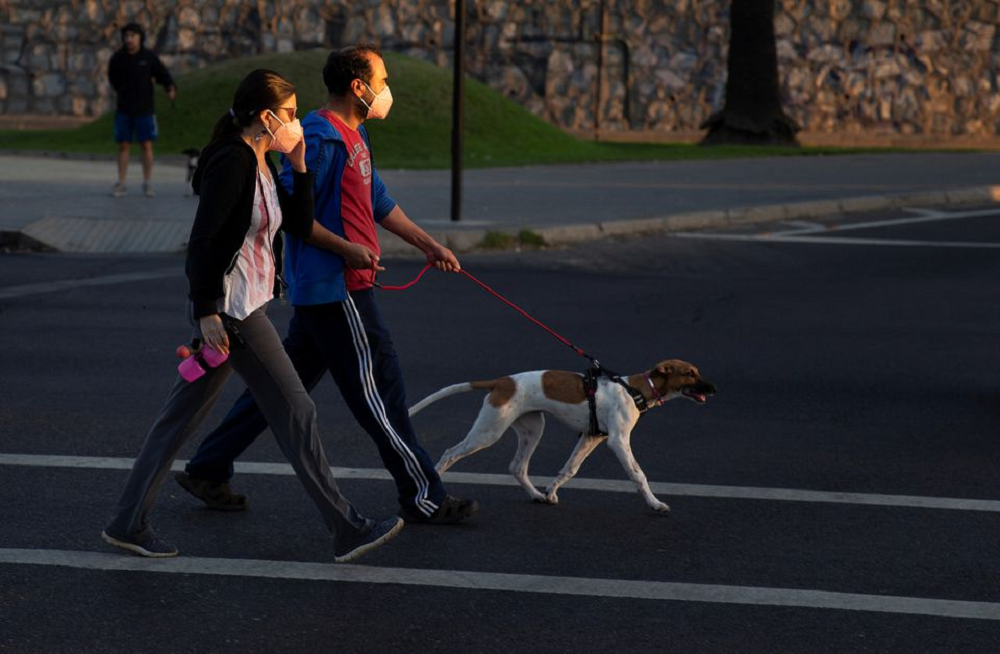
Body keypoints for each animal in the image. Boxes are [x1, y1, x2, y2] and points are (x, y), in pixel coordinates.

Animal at [410, 362, 716, 516]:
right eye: (690, 374)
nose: (714, 389)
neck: (635, 389)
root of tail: (502, 381)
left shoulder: (591, 437)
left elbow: (569, 469)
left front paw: (550, 491)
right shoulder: (618, 441)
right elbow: (638, 475)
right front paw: (654, 503)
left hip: (532, 429)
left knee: (517, 467)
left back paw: (536, 495)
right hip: (489, 431)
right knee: (450, 453)